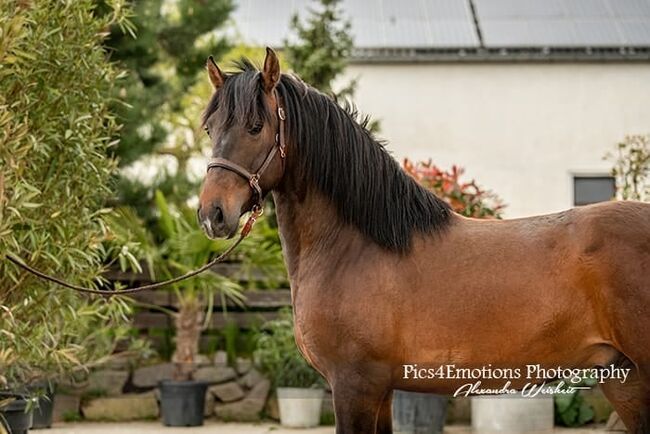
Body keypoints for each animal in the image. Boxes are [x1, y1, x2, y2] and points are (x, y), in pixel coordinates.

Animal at [196, 49, 648, 432]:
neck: (355, 249)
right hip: (622, 377)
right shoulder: (380, 390)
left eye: (256, 126)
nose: (212, 214)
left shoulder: (354, 385)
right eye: (210, 128)